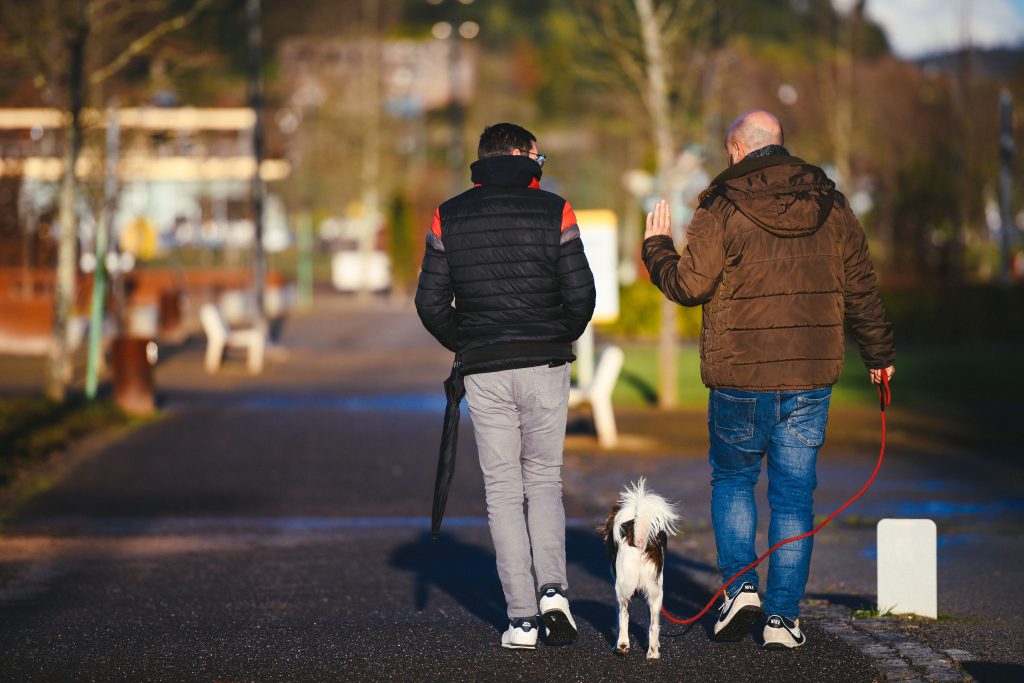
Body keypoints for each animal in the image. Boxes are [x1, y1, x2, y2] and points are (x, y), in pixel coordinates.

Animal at [598, 479, 675, 659]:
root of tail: (638, 540)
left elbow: (619, 620)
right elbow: (650, 623)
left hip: (621, 591)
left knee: (624, 617)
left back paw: (622, 646)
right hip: (655, 594)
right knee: (653, 626)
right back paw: (652, 654)